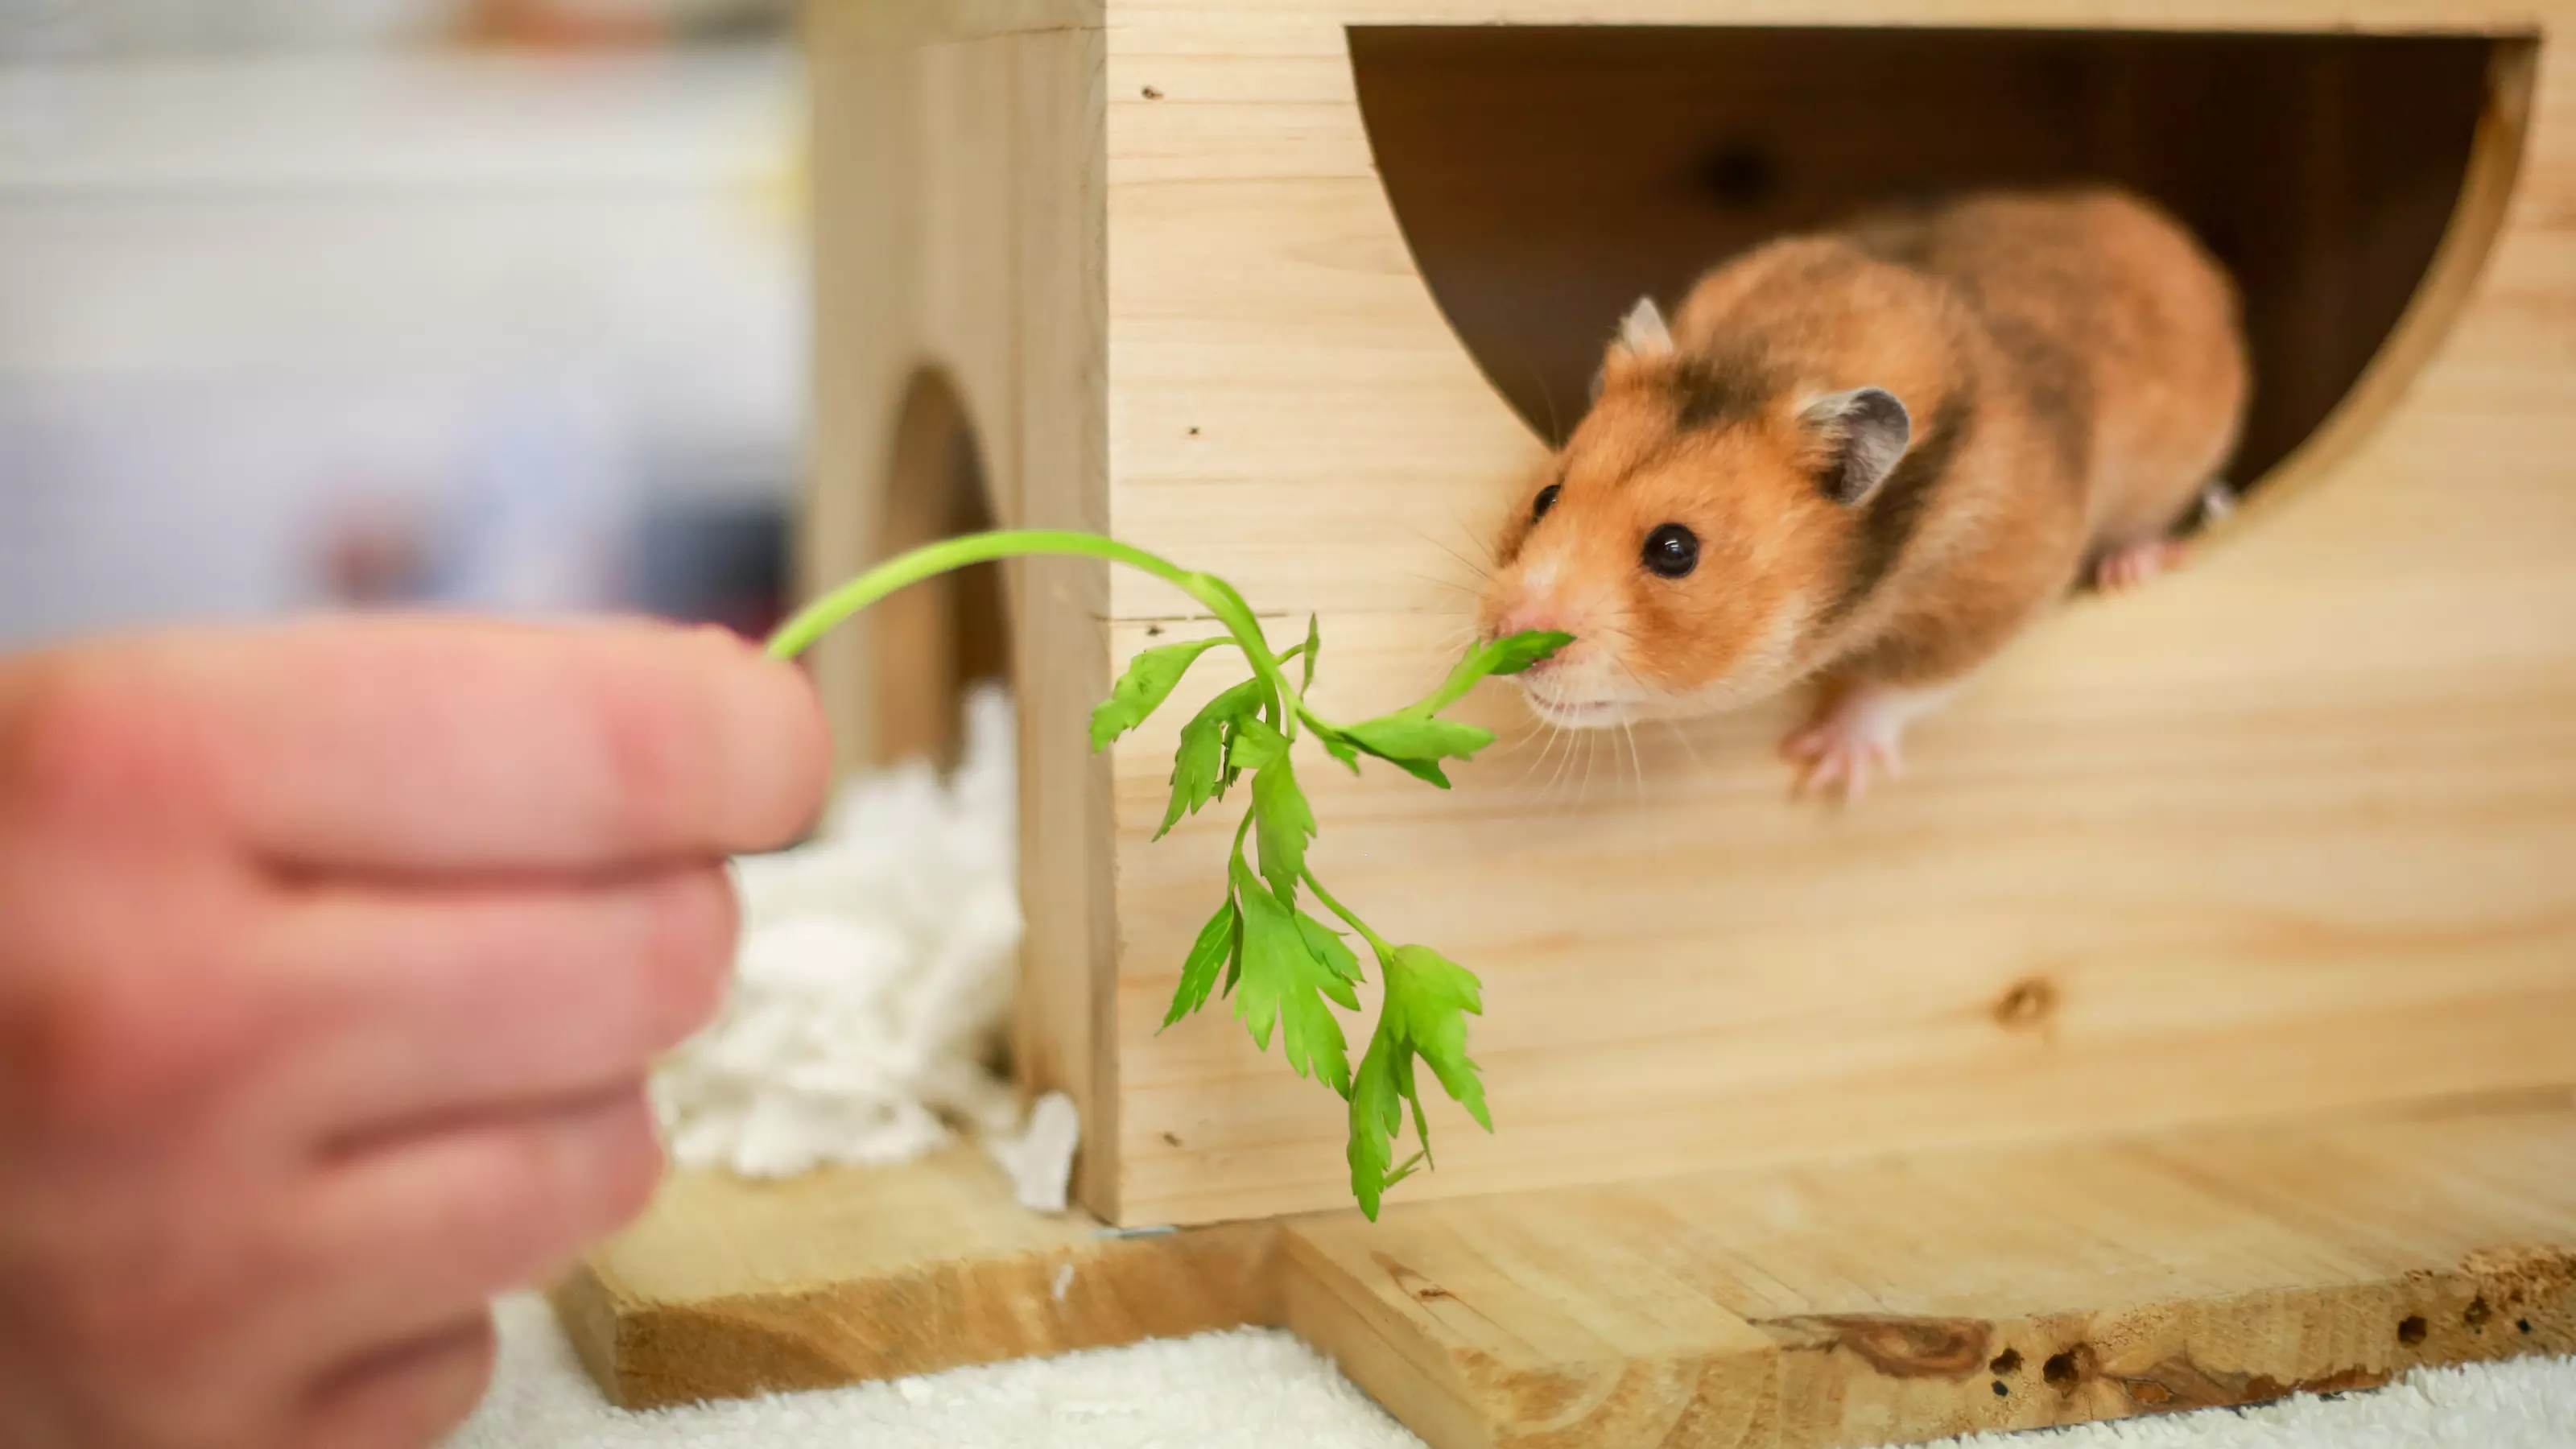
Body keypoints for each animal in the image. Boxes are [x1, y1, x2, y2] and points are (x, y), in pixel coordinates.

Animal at [1484, 184, 2246, 794]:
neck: (1769, 364)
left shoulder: (1995, 582)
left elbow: (1901, 684)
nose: (1506, 636)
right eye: (1546, 499)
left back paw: (2132, 565)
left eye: (1675, 550)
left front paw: (1823, 768)